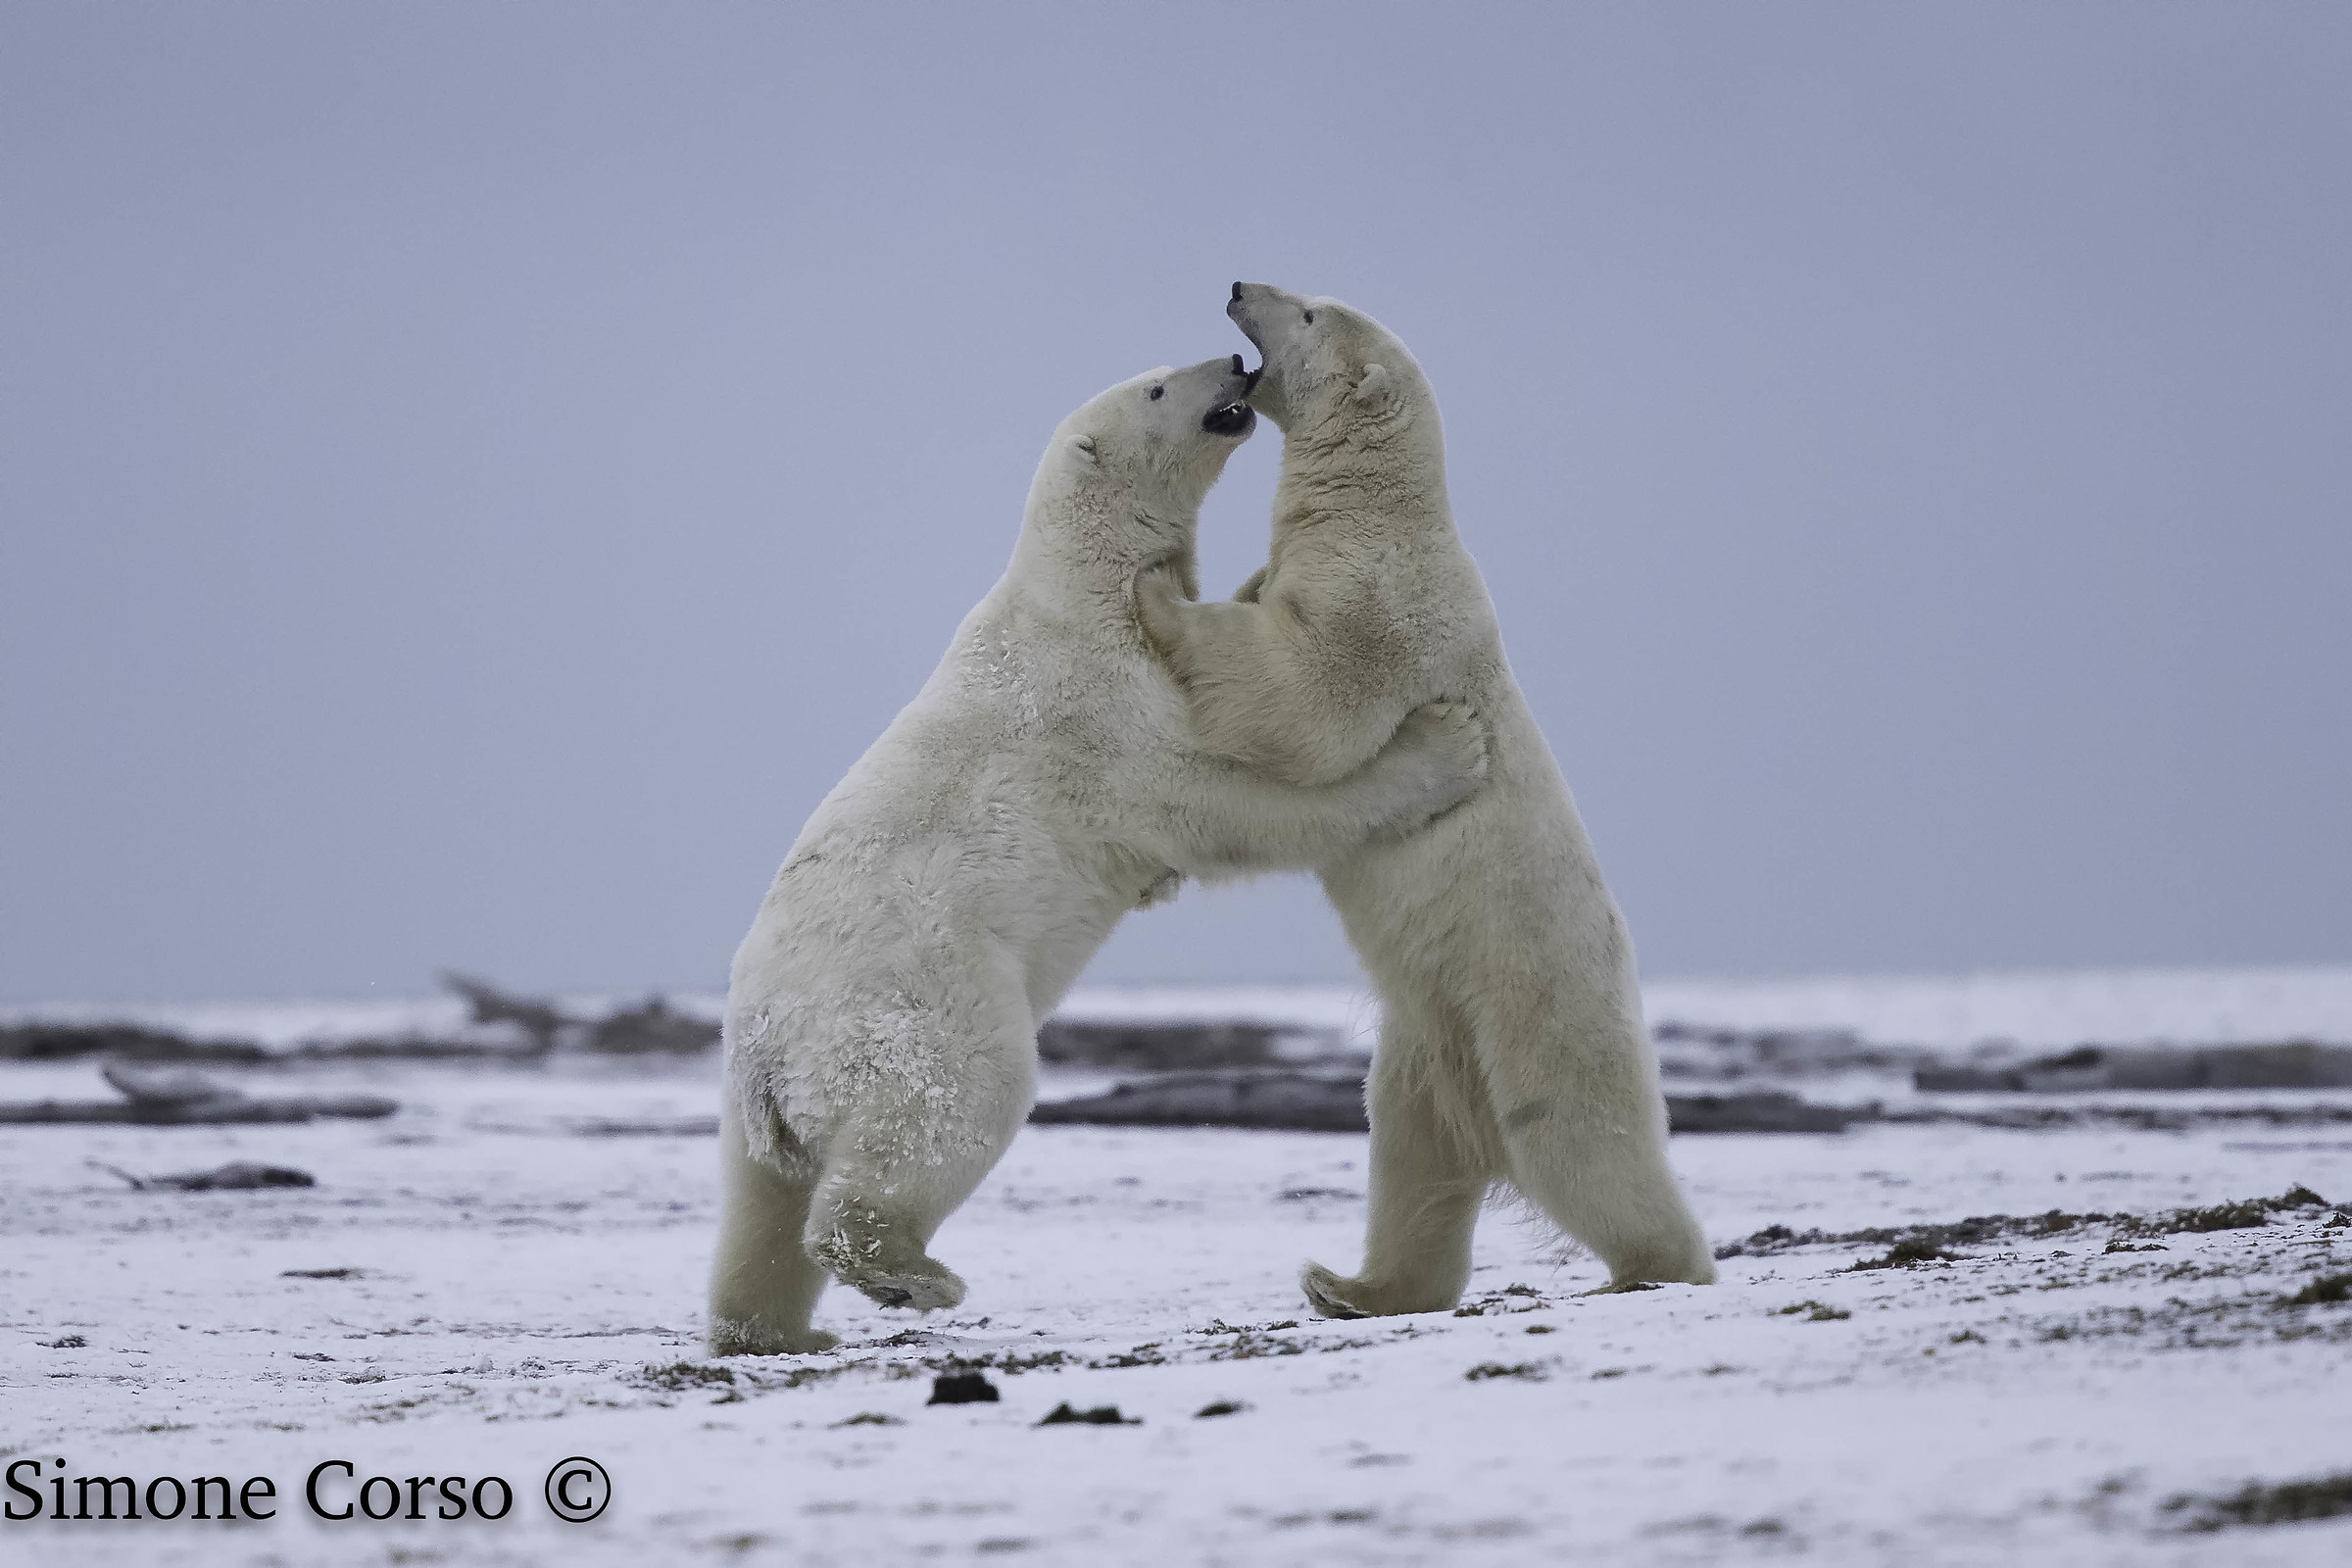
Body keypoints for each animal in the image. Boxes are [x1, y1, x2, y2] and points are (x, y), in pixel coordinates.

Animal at [709, 353, 1490, 1355]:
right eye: (1157, 387)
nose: (1233, 361)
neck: (1082, 586)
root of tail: (766, 1056)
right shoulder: (1106, 708)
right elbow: (1235, 802)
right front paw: (1445, 747)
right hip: (915, 1001)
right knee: (955, 1102)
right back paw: (911, 1273)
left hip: (754, 1111)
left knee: (760, 1209)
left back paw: (772, 1328)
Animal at [1134, 284, 1715, 1315]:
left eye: (1309, 312)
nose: (1240, 287)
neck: (1377, 514)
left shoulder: (1383, 606)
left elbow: (1302, 696)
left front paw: (1160, 593)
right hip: (1425, 1045)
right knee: (1411, 1162)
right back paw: (1348, 1284)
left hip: (1535, 998)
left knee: (1576, 1137)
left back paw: (1656, 1267)